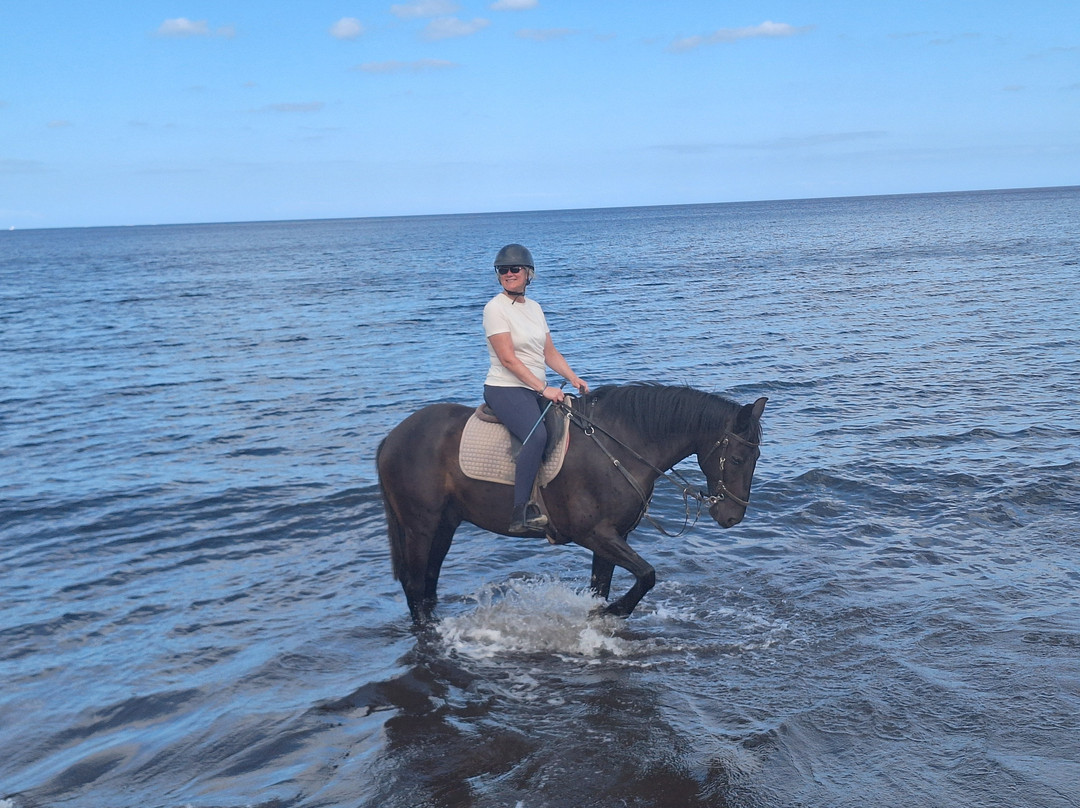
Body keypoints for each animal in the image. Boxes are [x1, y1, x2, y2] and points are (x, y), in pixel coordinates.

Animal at [376, 383, 767, 623]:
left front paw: (602, 616)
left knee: (427, 583)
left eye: (756, 457)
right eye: (736, 459)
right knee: (415, 585)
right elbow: (648, 575)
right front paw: (613, 612)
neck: (621, 445)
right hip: (420, 526)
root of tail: (392, 438)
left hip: (444, 524)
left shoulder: (614, 536)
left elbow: (602, 587)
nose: (732, 516)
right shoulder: (593, 533)